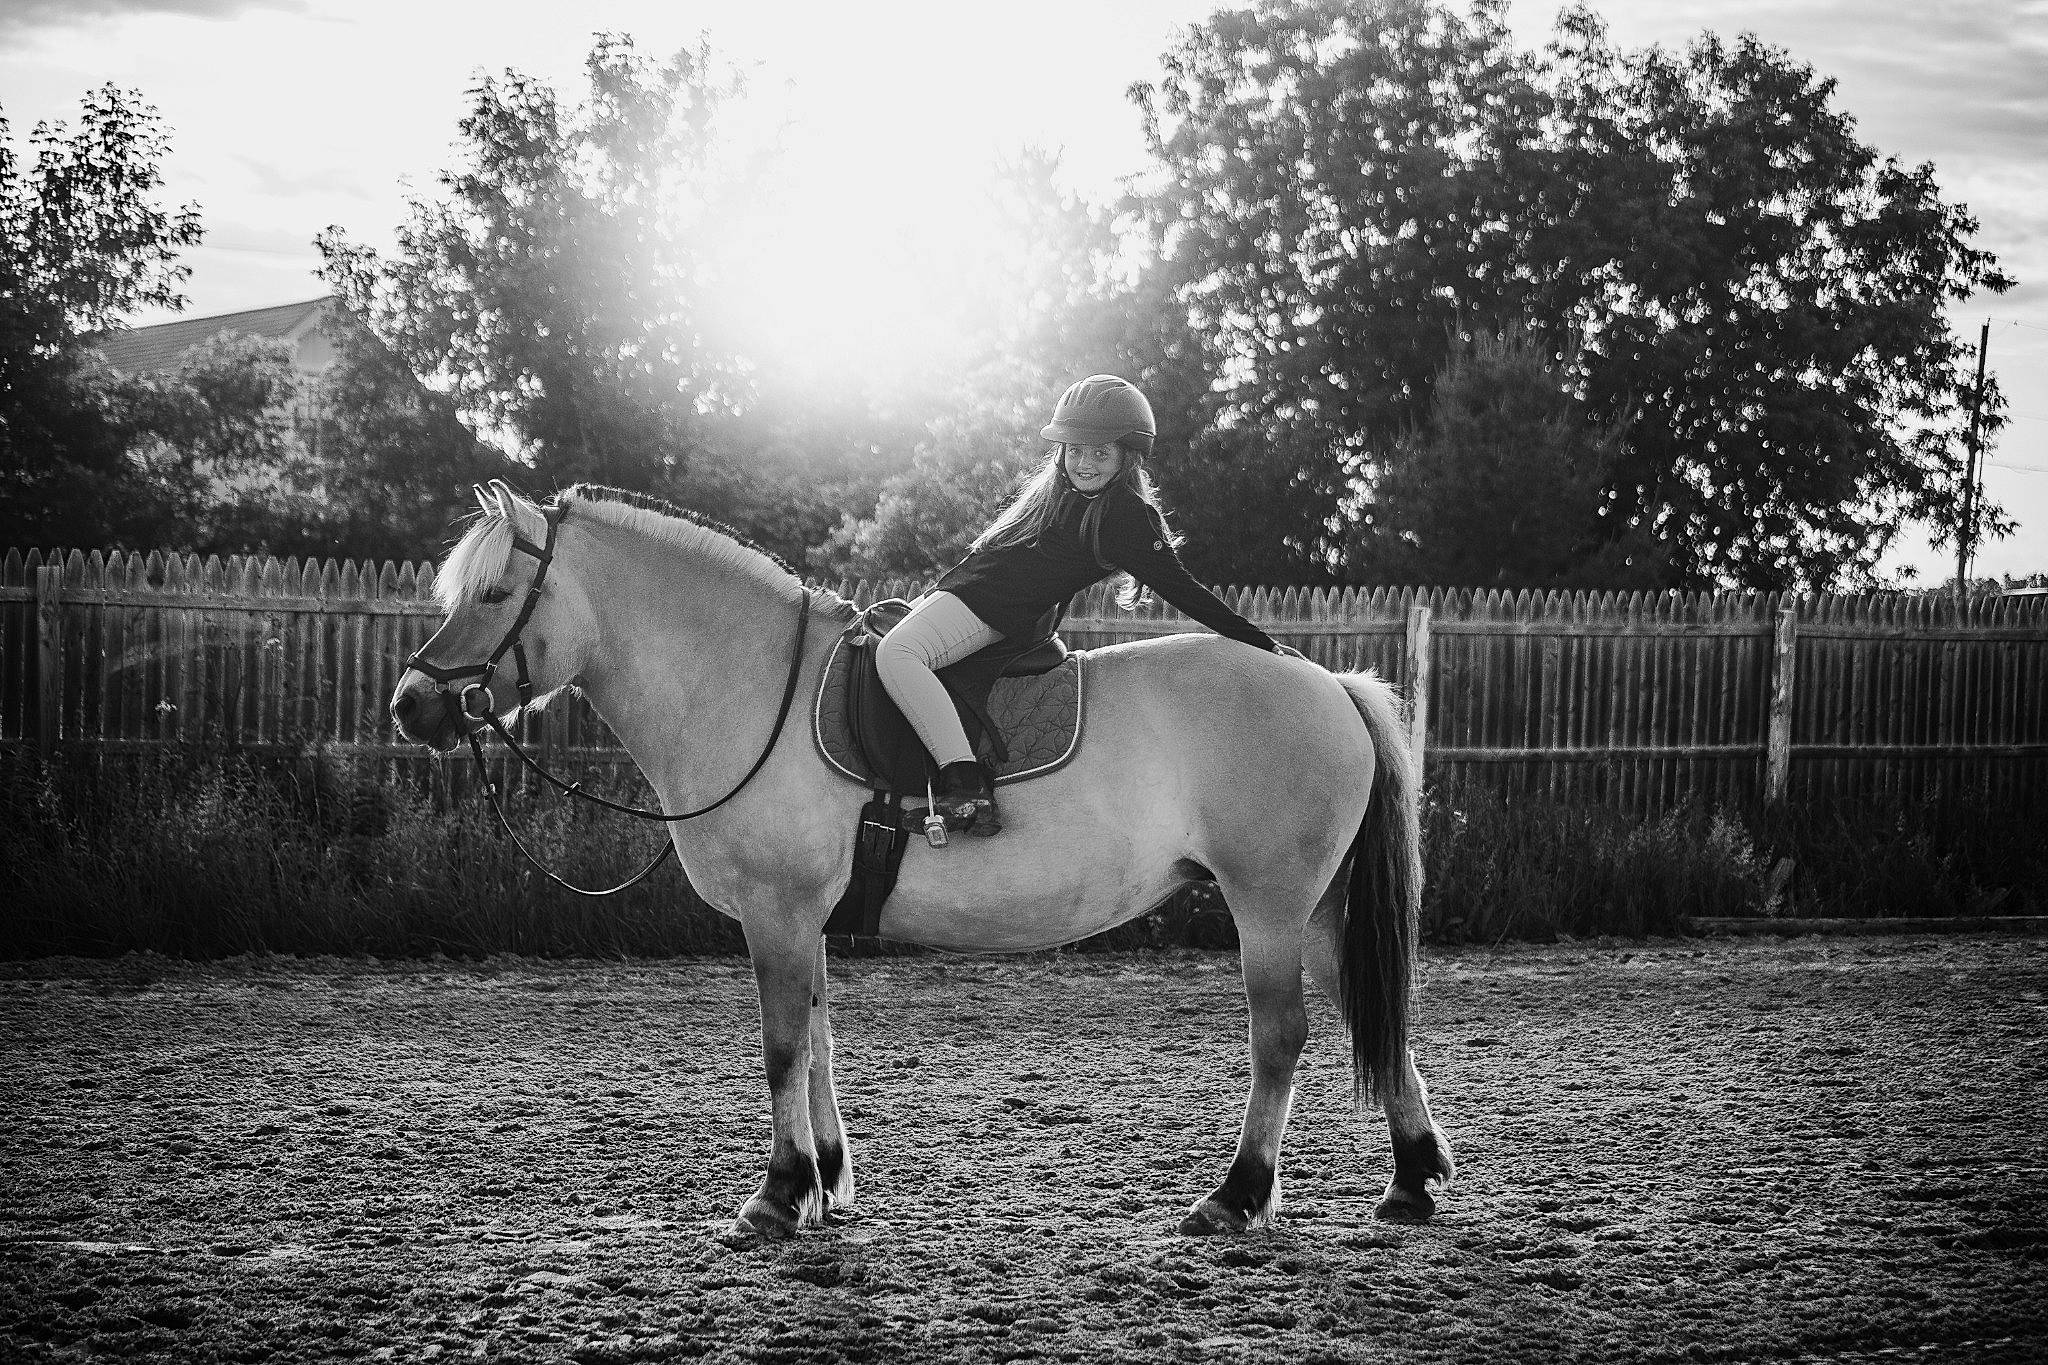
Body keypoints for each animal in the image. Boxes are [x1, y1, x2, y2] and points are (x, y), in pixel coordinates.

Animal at [389, 479, 1455, 1241]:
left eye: (493, 593)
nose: (411, 703)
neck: (750, 686)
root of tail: (1327, 681)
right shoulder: (805, 921)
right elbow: (819, 1039)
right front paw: (825, 1180)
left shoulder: (777, 914)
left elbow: (782, 1047)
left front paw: (777, 1194)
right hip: (1315, 910)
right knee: (1374, 1016)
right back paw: (1411, 1177)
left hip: (1268, 905)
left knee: (1280, 1036)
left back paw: (1236, 1194)